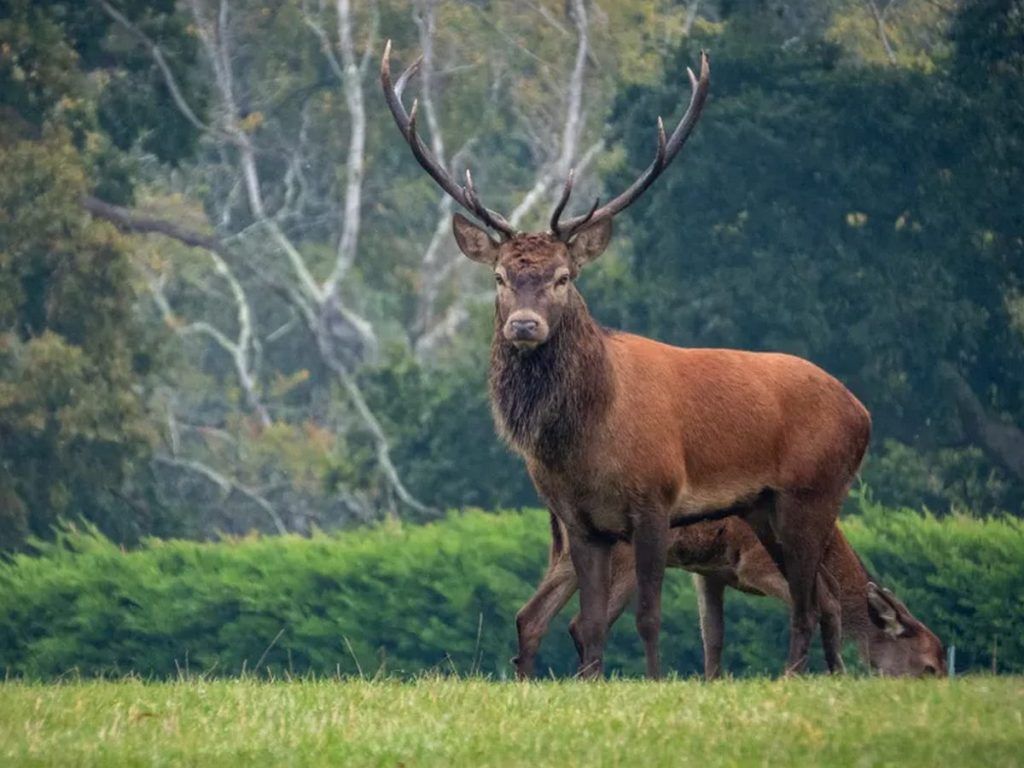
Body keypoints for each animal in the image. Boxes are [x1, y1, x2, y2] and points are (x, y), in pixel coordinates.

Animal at [385, 43, 872, 679]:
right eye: (499, 277)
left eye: (563, 277)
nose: (524, 325)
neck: (586, 440)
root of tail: (862, 413)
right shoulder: (579, 520)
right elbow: (590, 624)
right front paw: (590, 681)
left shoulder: (655, 500)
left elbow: (648, 615)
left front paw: (657, 681)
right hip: (766, 508)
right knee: (819, 595)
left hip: (815, 492)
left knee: (811, 601)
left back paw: (799, 676)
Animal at [512, 514, 942, 684]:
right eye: (929, 668)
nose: (940, 681)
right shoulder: (754, 563)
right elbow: (827, 601)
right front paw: (830, 672)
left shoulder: (710, 573)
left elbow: (713, 635)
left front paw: (712, 682)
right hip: (621, 555)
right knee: (581, 623)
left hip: (567, 553)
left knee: (530, 615)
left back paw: (528, 681)